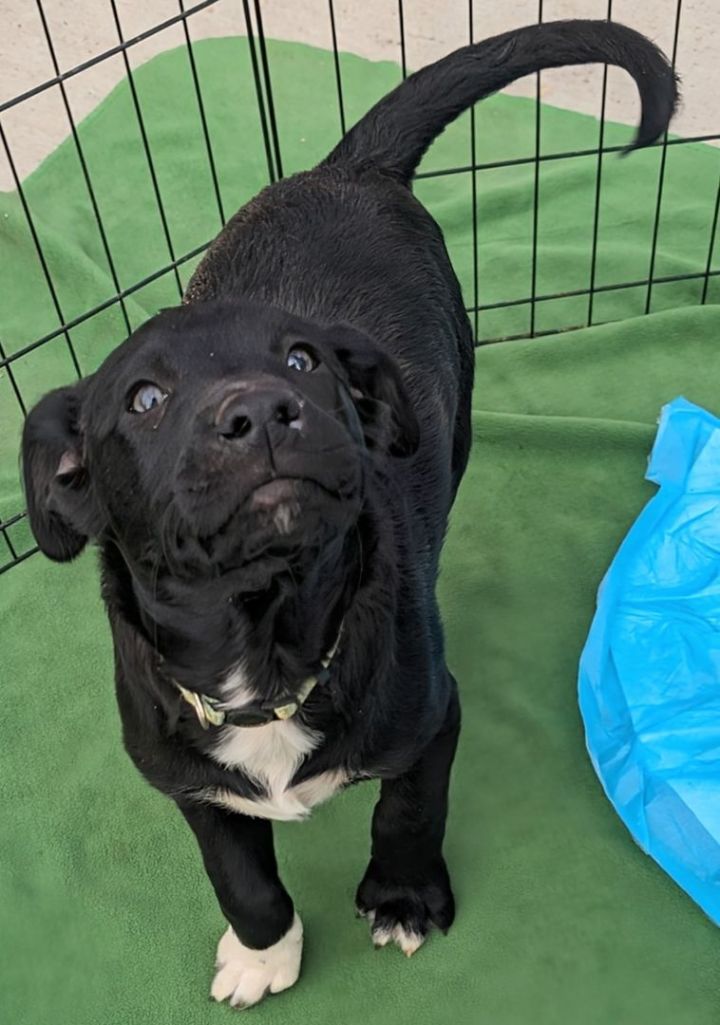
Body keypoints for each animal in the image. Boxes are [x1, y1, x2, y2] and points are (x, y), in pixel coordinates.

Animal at [21, 22, 676, 1008]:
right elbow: (239, 875)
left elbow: (408, 807)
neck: (267, 652)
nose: (262, 411)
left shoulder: (434, 716)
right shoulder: (186, 780)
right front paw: (264, 953)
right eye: (143, 399)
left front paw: (402, 898)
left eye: (302, 359)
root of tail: (349, 168)